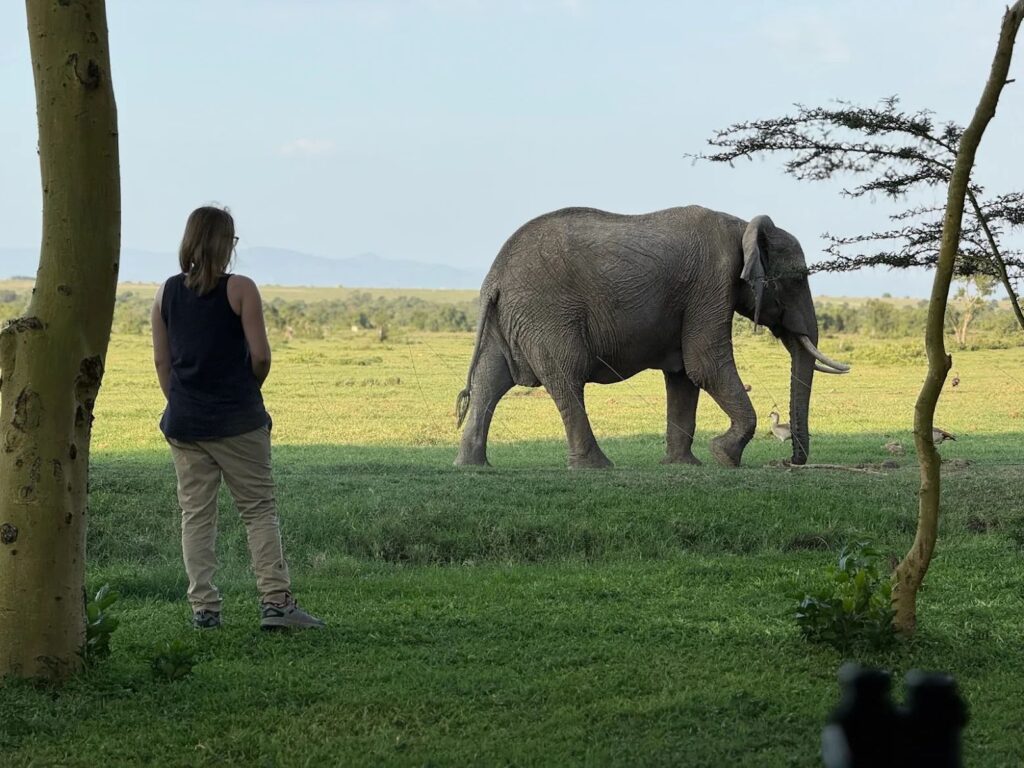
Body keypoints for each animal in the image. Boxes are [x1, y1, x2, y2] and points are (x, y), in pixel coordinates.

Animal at [454, 206, 850, 469]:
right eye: (796, 279)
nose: (792, 461)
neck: (742, 227)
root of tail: (495, 279)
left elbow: (684, 376)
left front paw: (685, 465)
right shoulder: (711, 283)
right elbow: (705, 365)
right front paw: (724, 456)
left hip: (509, 317)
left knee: (490, 380)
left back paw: (472, 466)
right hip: (546, 314)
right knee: (566, 378)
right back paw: (597, 467)